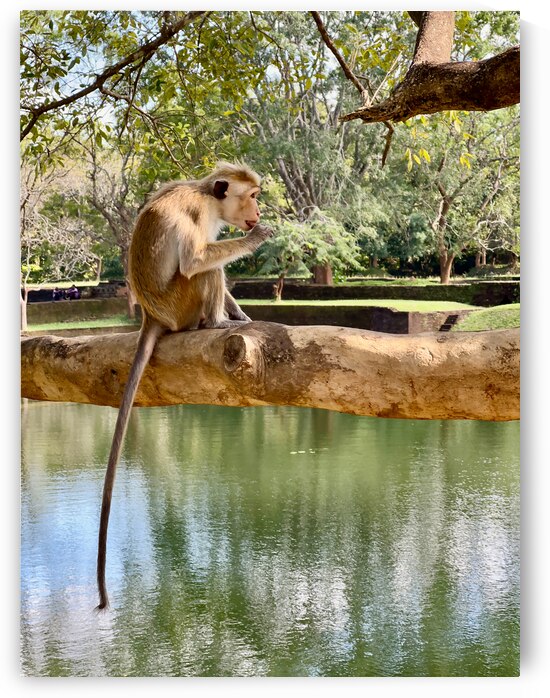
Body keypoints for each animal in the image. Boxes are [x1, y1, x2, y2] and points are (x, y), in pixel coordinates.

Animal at [96, 162, 273, 610]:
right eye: (253, 195)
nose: (257, 212)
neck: (206, 196)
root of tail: (152, 316)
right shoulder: (198, 214)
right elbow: (196, 262)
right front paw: (253, 241)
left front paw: (244, 315)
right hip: (182, 305)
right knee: (204, 269)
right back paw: (215, 322)